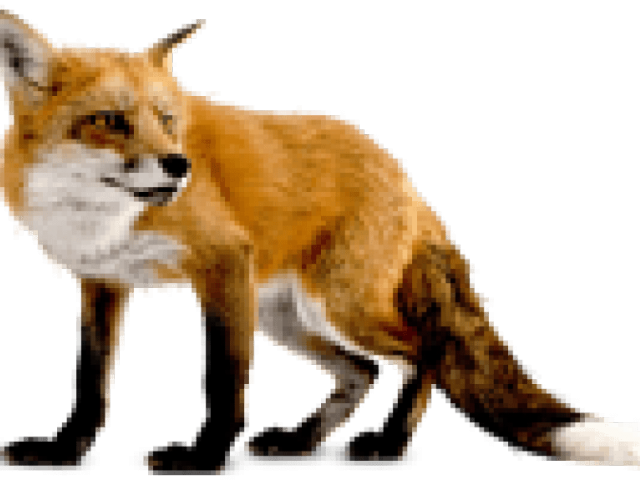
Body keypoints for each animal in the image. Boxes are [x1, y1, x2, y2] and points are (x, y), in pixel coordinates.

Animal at [1, 8, 640, 475]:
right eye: (110, 120)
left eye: (167, 120)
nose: (179, 167)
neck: (101, 217)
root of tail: (402, 173)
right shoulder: (101, 279)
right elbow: (90, 379)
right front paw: (67, 450)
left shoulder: (223, 263)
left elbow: (225, 376)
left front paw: (205, 458)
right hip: (287, 318)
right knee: (365, 372)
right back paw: (301, 439)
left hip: (336, 305)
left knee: (424, 352)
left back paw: (388, 443)